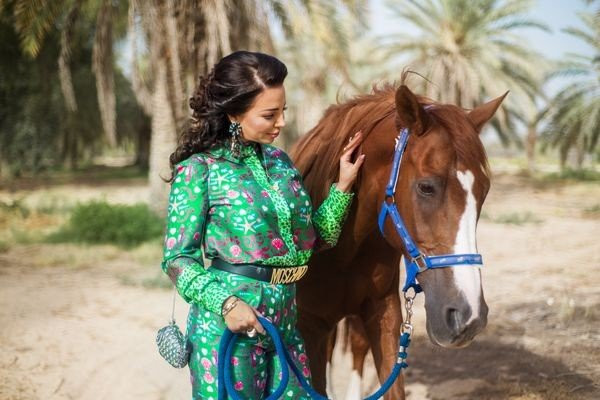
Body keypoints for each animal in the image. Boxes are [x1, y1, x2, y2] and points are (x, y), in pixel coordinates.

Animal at [290, 82, 506, 400]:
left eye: (485, 190)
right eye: (426, 187)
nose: (469, 318)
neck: (342, 249)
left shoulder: (384, 314)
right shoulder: (310, 326)